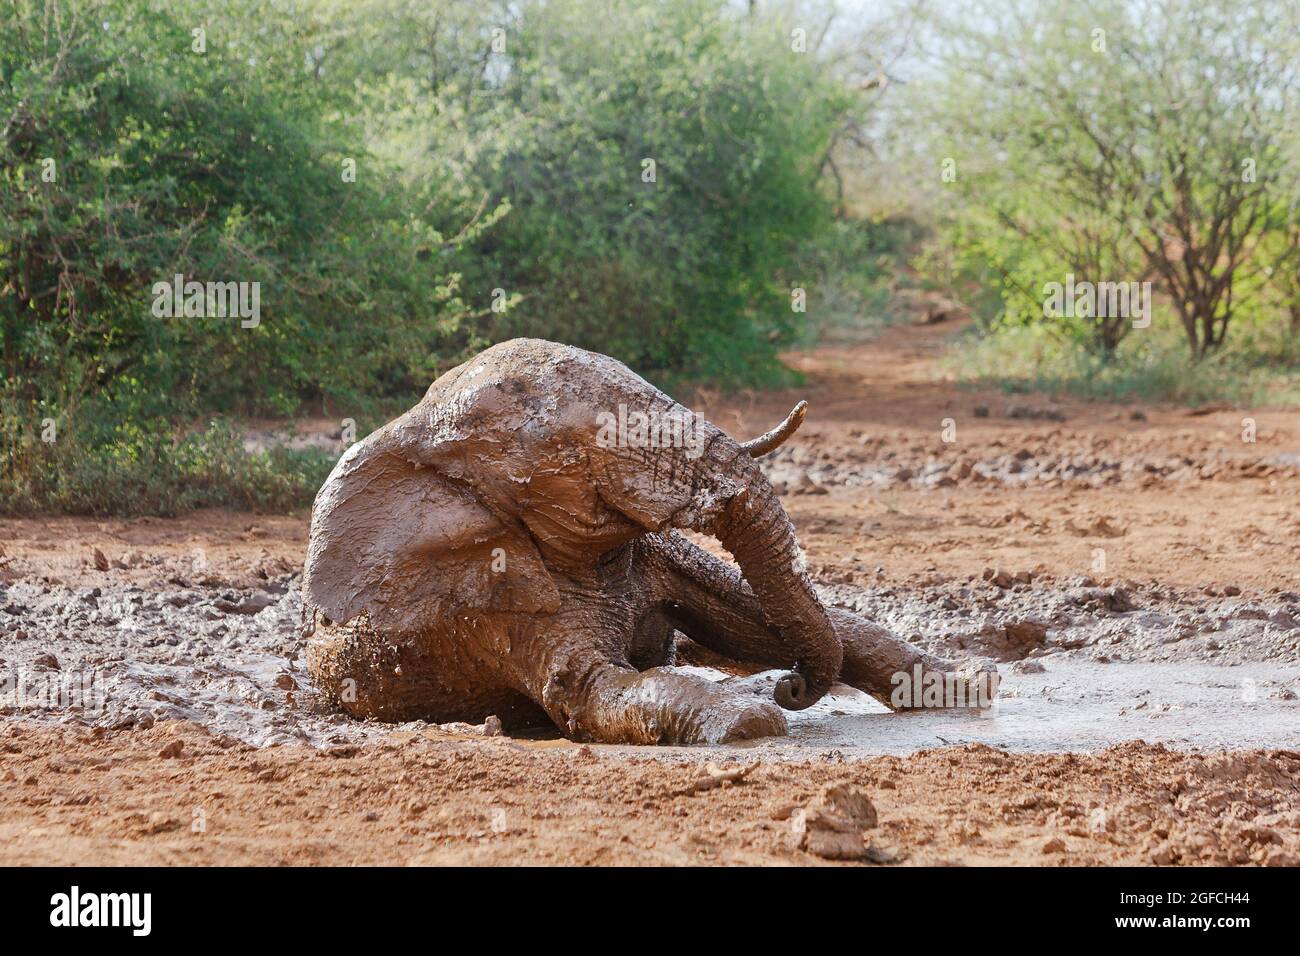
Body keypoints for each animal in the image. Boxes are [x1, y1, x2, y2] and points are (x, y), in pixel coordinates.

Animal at [302, 338, 995, 744]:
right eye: (566, 446)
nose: (793, 687)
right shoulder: (489, 597)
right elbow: (588, 693)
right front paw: (749, 720)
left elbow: (755, 617)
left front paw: (967, 686)